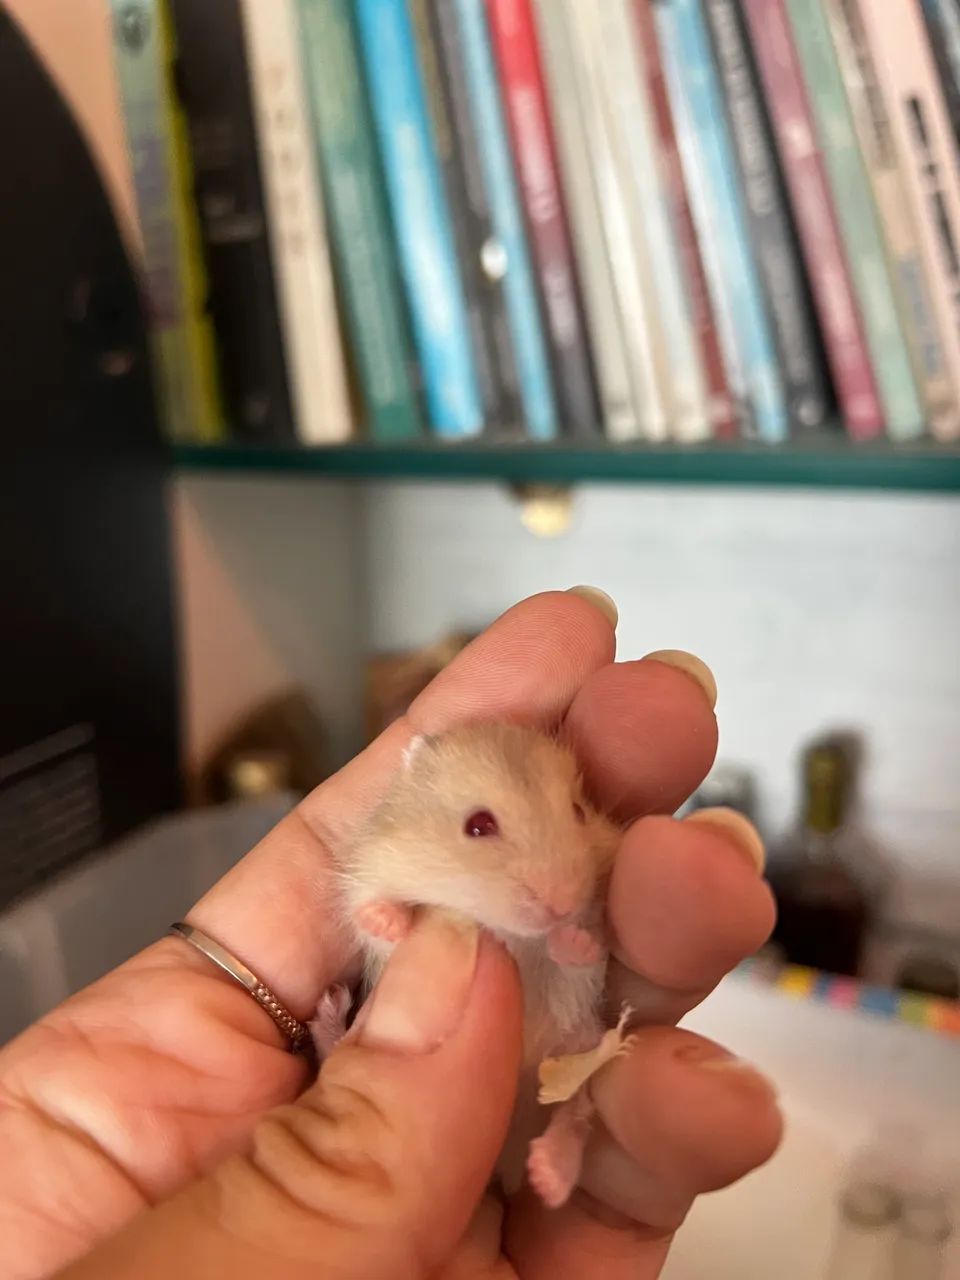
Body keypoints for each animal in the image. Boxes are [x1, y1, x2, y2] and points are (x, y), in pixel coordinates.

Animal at [323, 723, 627, 1207]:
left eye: (579, 812)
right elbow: (371, 912)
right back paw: (329, 1011)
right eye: (478, 825)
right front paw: (389, 920)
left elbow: (585, 955)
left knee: (576, 1111)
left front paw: (573, 939)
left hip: (579, 1043)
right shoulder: (373, 865)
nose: (562, 906)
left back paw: (548, 1176)